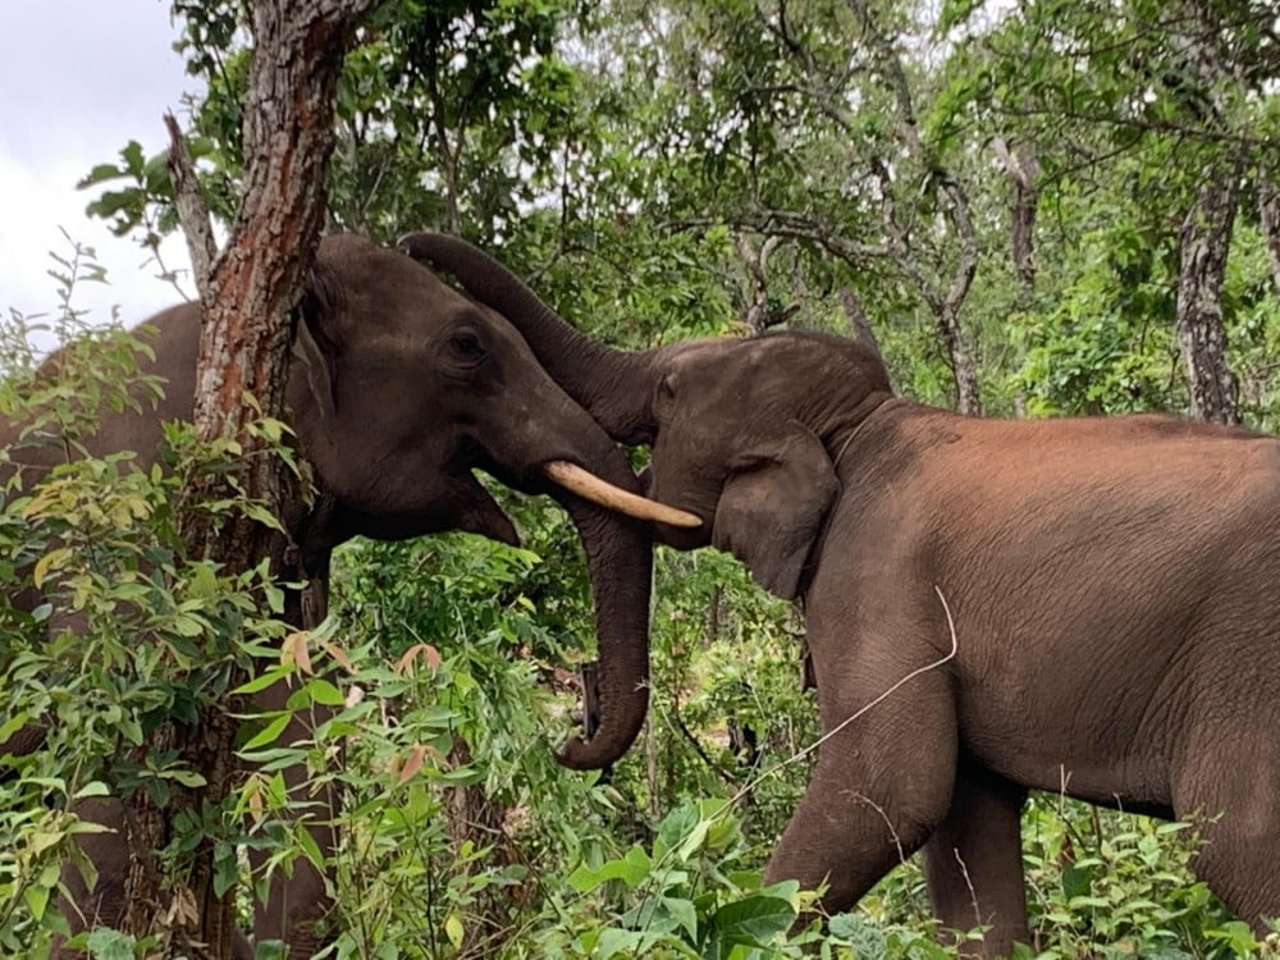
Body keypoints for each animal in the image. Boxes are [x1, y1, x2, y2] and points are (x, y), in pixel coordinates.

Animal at [404, 229, 1280, 957]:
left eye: (671, 390)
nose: (568, 742)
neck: (861, 424)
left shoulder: (875, 576)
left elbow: (890, 784)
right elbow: (966, 829)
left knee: (1236, 841)